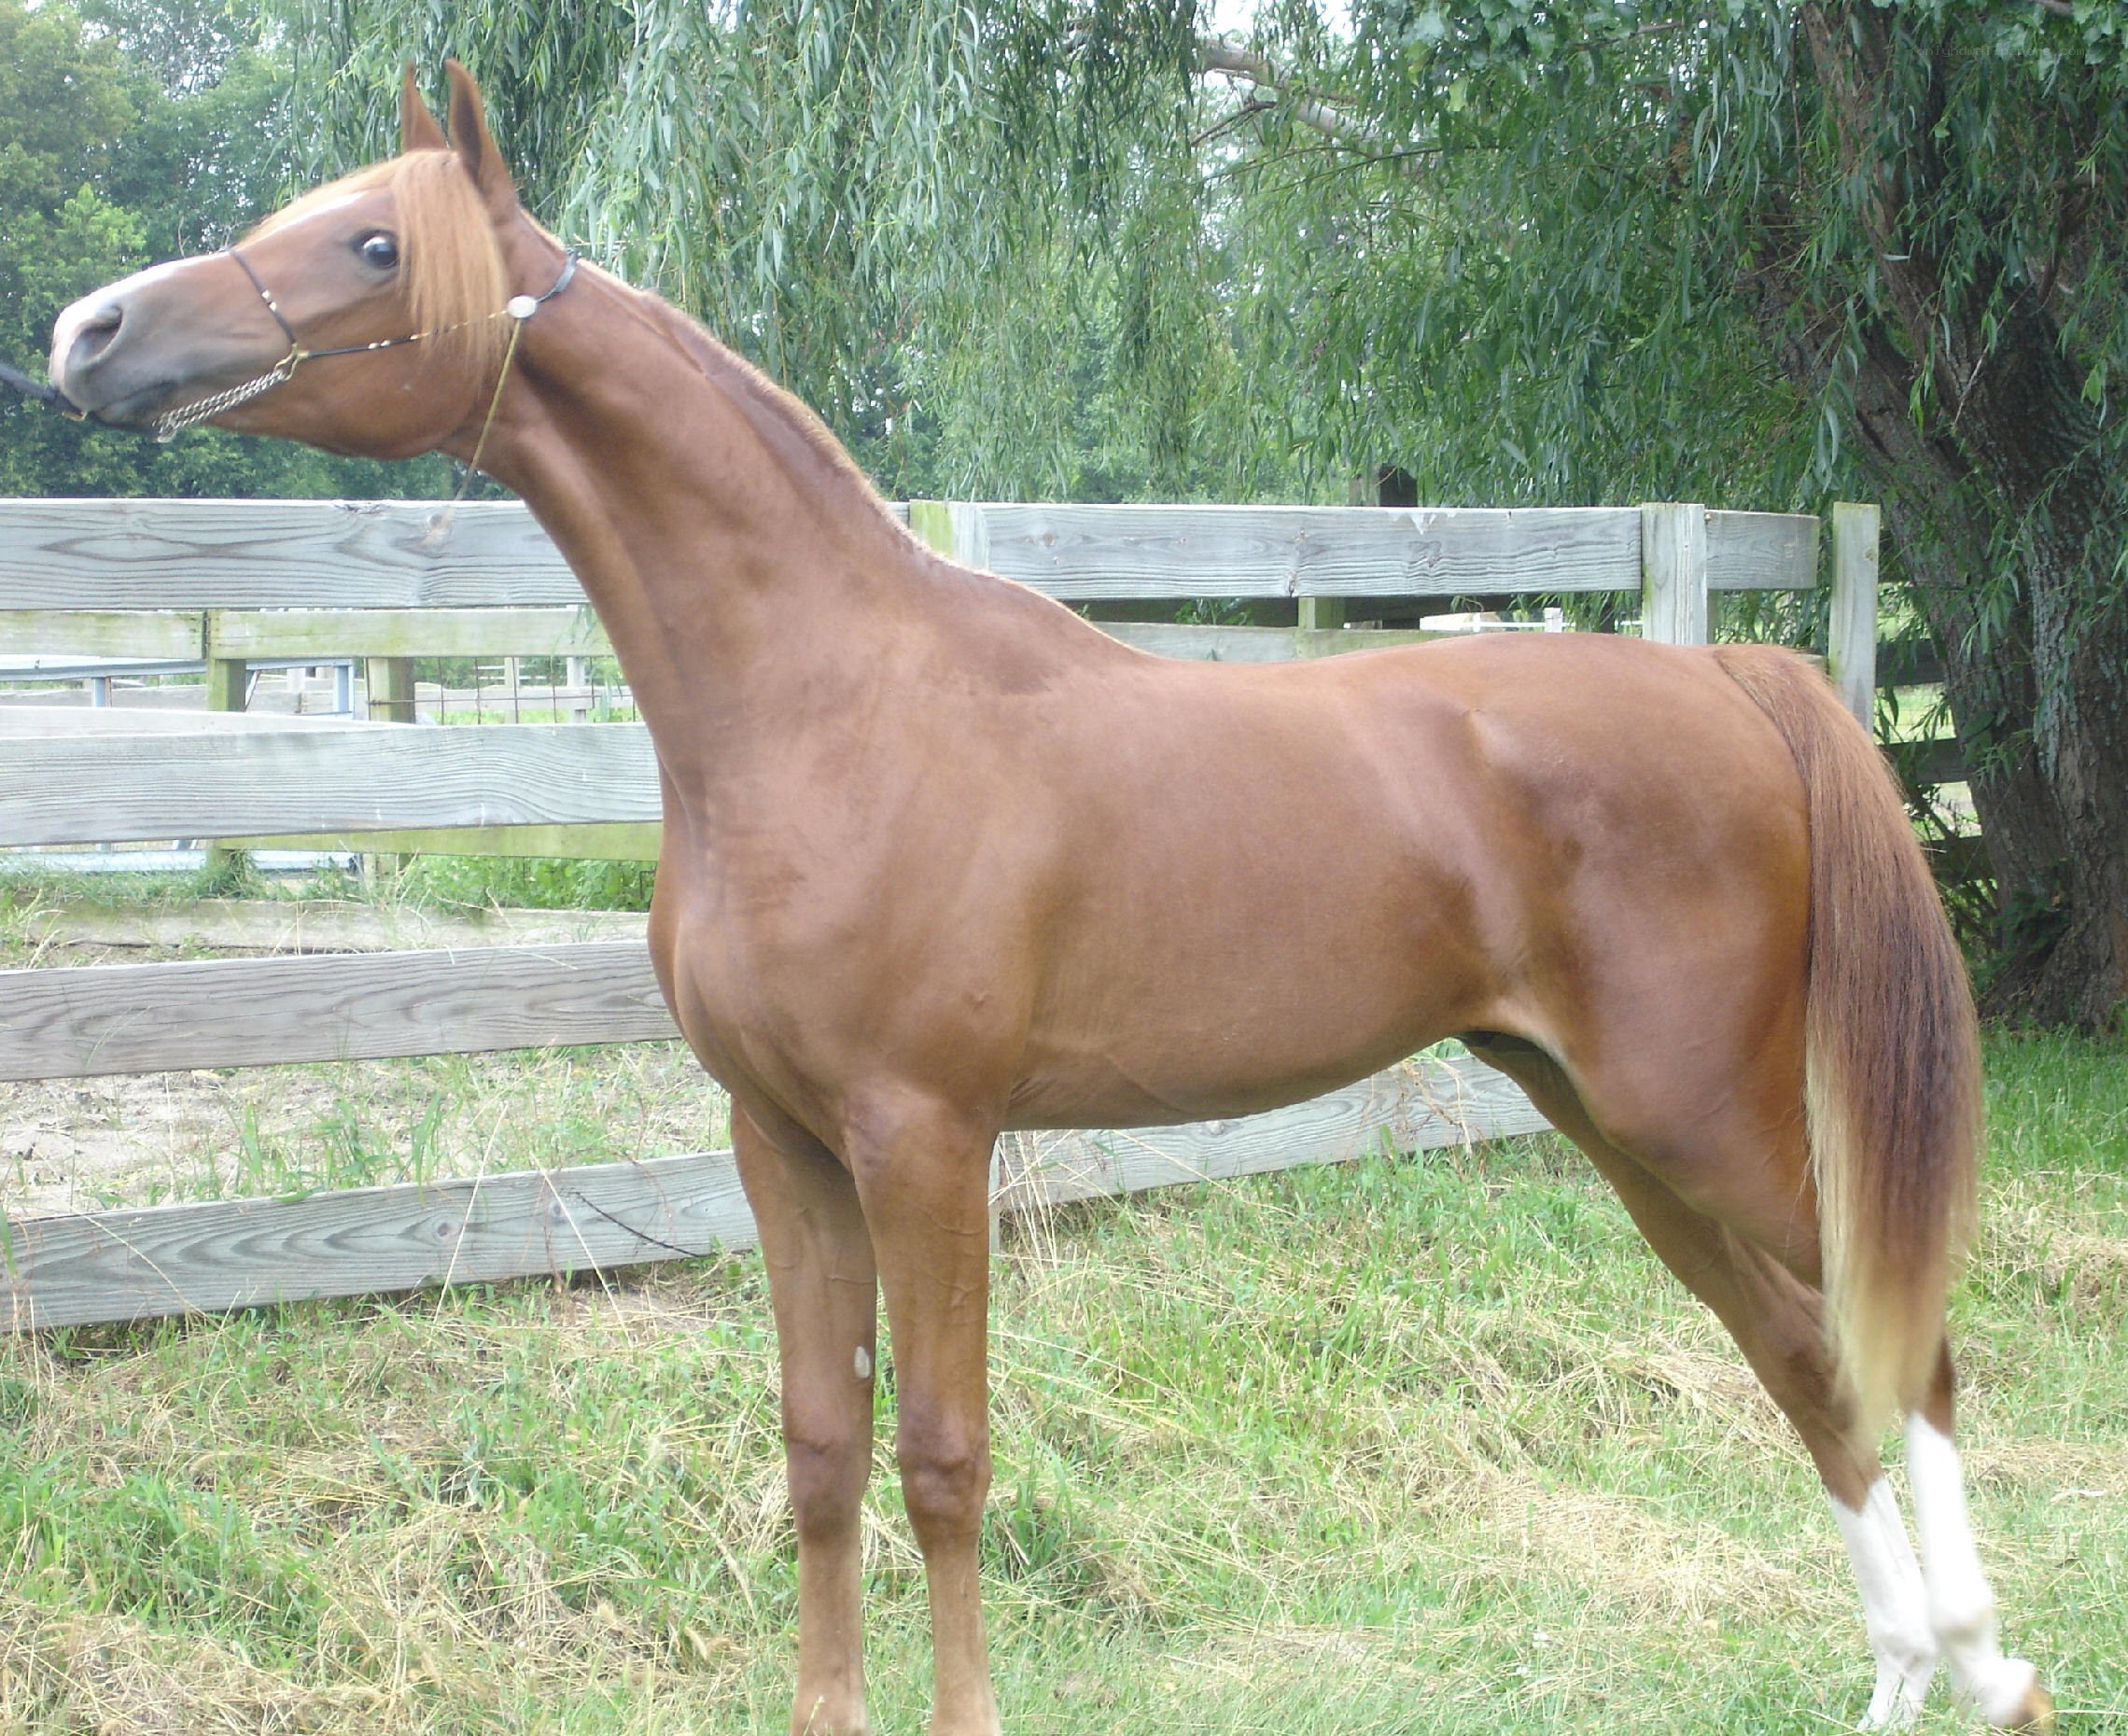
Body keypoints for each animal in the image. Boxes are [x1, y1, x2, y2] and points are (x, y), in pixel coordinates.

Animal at [47, 61, 2052, 1736]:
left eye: (375, 240)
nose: (89, 330)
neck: (831, 705)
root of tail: (1735, 681)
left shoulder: (925, 1136)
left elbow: (942, 1455)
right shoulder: (781, 1139)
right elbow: (821, 1447)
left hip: (1700, 1114)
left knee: (1907, 1350)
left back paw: (1989, 1670)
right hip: (1613, 1122)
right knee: (1808, 1361)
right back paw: (1905, 1679)